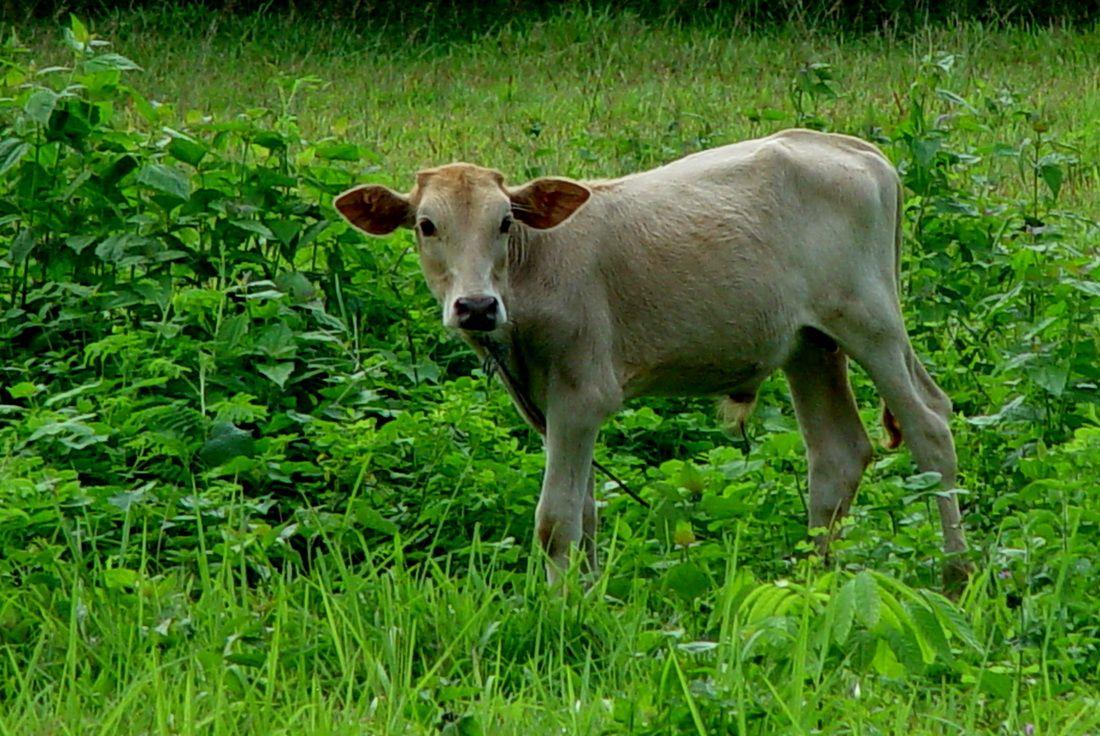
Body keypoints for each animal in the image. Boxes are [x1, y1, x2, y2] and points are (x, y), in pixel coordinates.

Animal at [335, 128, 972, 588]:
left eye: (505, 221)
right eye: (426, 225)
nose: (475, 306)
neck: (533, 275)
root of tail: (854, 147)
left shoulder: (581, 393)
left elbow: (556, 520)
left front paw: (556, 611)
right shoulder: (548, 406)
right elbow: (585, 514)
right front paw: (587, 599)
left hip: (870, 321)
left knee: (931, 428)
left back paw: (955, 574)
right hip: (809, 343)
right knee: (837, 454)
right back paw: (813, 579)